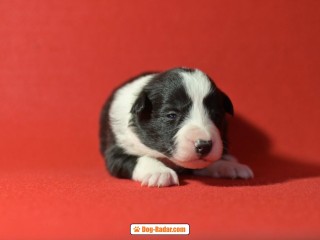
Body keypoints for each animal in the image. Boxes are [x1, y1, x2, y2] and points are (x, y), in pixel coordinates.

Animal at [99, 67, 254, 188]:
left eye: (216, 115)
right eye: (172, 115)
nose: (204, 146)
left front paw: (229, 166)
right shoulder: (116, 150)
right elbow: (138, 158)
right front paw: (158, 172)